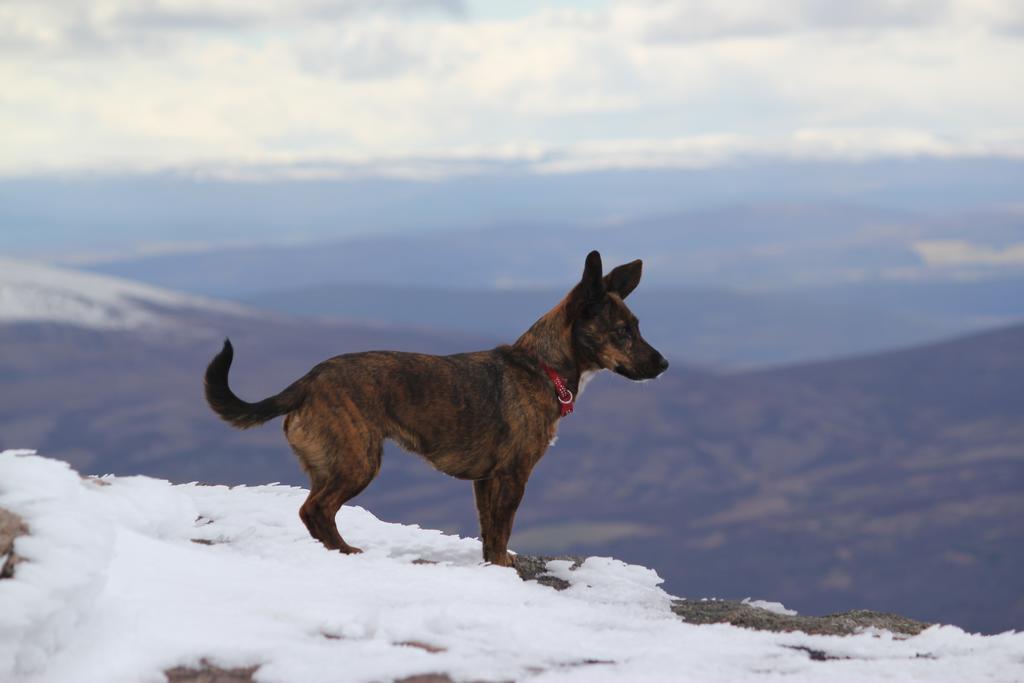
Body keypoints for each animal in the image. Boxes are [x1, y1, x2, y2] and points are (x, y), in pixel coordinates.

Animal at [205, 250, 671, 565]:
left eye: (637, 328)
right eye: (622, 332)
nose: (664, 365)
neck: (541, 367)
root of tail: (308, 381)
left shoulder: (485, 480)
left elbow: (489, 531)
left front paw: (494, 566)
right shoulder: (512, 475)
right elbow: (503, 529)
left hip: (334, 463)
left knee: (313, 511)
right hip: (358, 460)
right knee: (315, 510)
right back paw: (347, 552)